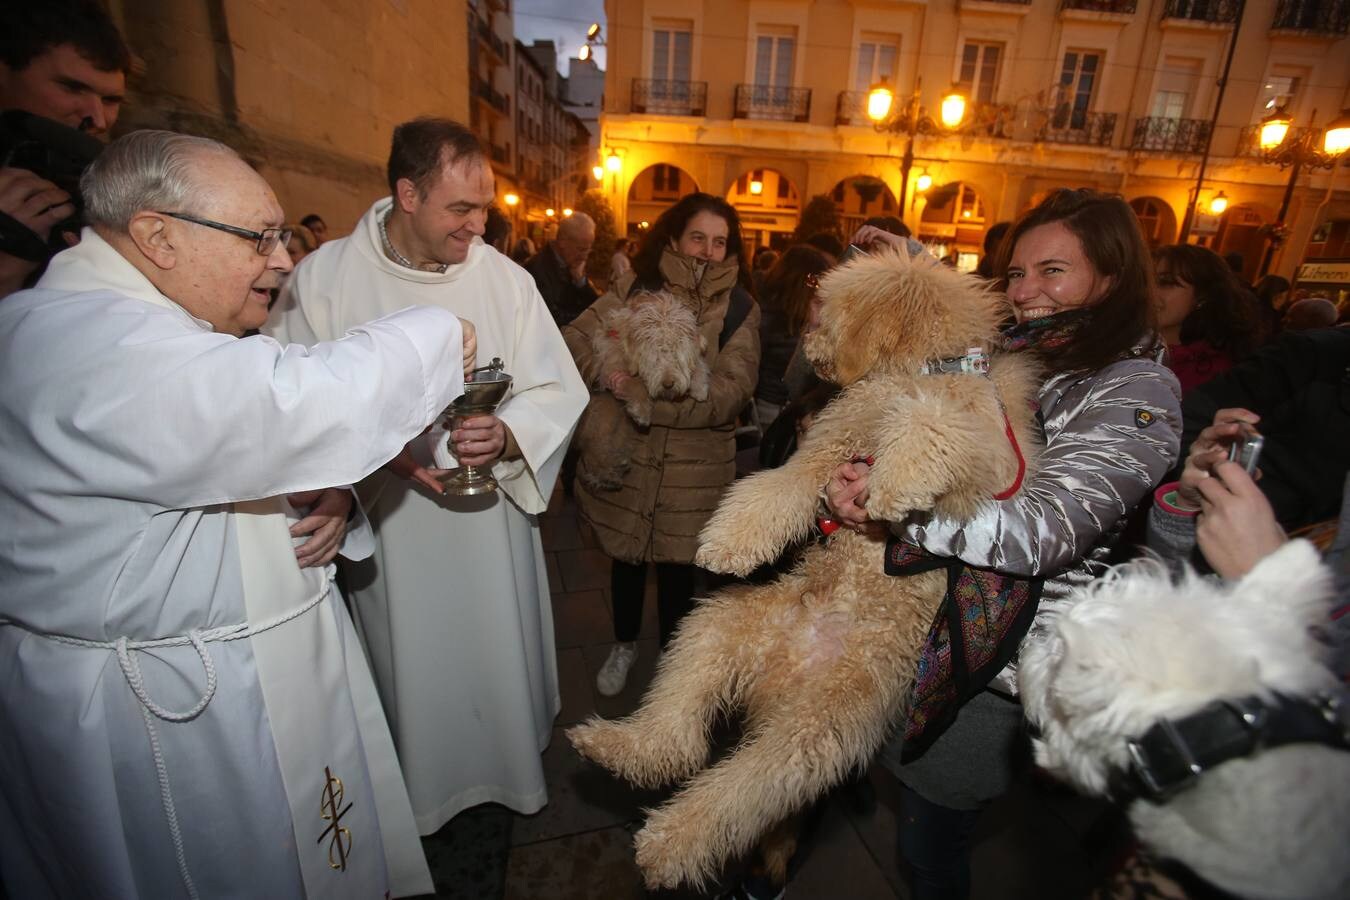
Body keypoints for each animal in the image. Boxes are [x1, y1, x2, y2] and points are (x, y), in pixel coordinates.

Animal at [575, 292, 712, 493]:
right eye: (655, 357)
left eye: (676, 355)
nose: (668, 384)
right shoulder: (611, 366)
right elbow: (635, 383)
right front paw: (642, 411)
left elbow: (698, 363)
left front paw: (700, 384)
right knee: (596, 449)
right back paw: (607, 476)